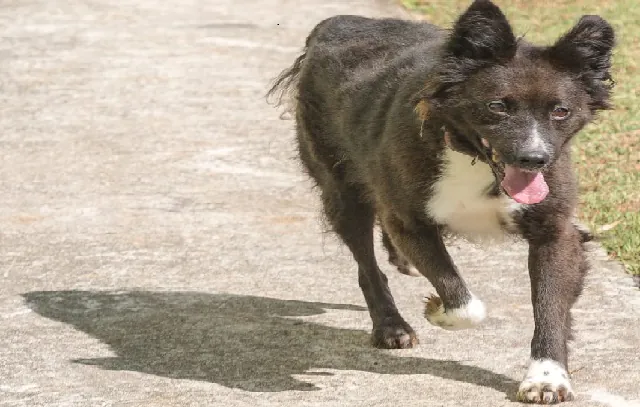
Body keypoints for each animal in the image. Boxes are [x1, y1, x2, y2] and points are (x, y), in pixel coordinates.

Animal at [268, 0, 616, 402]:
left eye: (560, 111)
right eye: (498, 107)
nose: (535, 159)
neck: (473, 156)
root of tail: (336, 22)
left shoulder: (555, 232)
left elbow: (549, 307)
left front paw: (547, 377)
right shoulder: (410, 222)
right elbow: (464, 302)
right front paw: (436, 309)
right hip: (341, 191)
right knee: (367, 265)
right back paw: (391, 326)